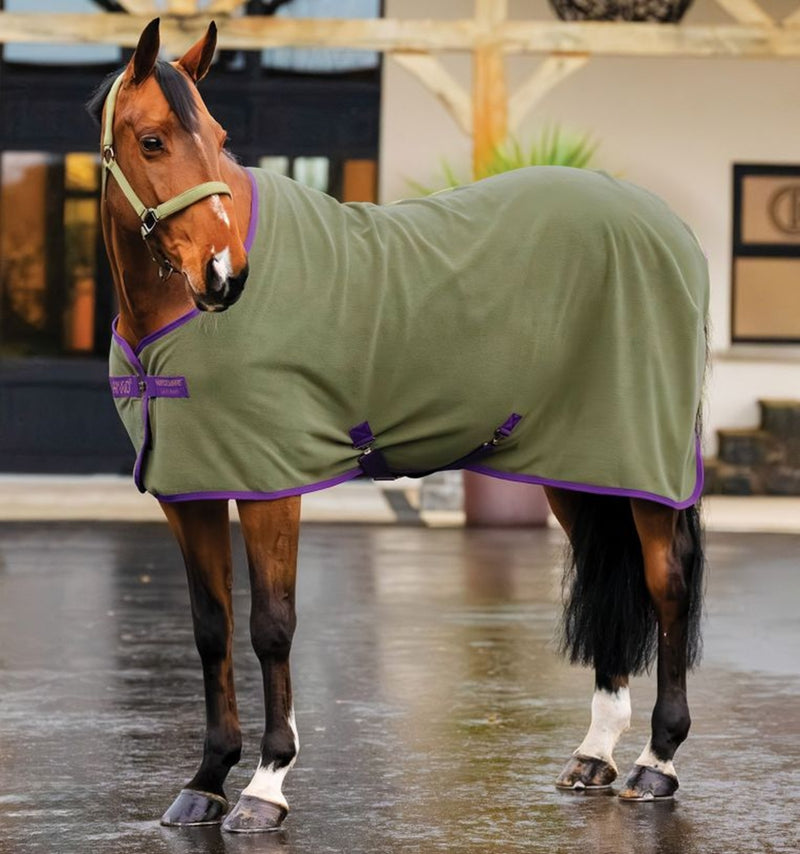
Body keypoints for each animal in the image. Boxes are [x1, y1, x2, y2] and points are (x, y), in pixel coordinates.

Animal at [88, 18, 708, 833]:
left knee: (666, 584)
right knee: (614, 574)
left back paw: (656, 762)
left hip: (645, 464)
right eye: (153, 140)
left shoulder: (269, 487)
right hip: (581, 465)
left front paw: (265, 786)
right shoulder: (188, 492)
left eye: (220, 138)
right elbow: (210, 628)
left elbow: (271, 627)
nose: (226, 275)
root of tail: (670, 227)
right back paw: (594, 756)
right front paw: (205, 781)